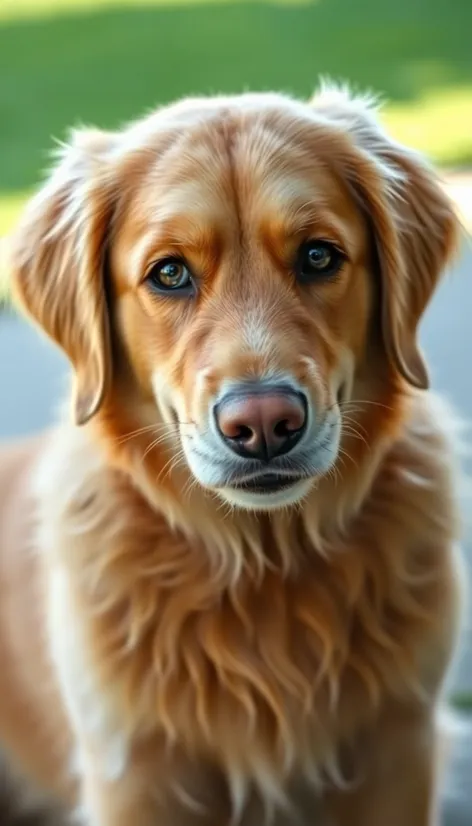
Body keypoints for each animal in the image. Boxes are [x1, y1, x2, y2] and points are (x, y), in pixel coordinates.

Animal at [0, 87, 464, 820]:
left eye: (318, 257)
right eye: (169, 273)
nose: (265, 423)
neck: (263, 566)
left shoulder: (399, 748)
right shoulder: (135, 773)